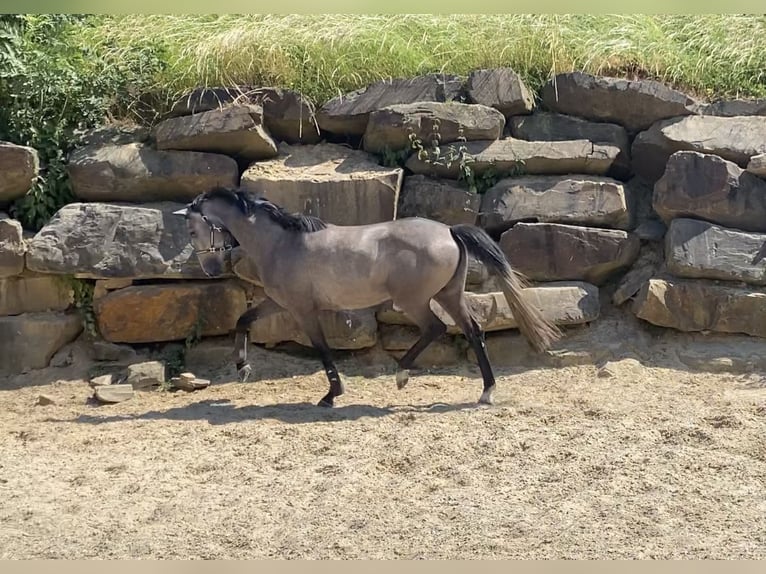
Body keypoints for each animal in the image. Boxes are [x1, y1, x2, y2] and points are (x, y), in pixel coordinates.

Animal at [174, 187, 564, 408]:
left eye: (192, 229)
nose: (210, 268)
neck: (281, 242)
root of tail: (450, 231)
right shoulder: (281, 302)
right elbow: (243, 320)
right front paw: (242, 367)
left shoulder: (303, 310)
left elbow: (322, 350)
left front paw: (331, 395)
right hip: (449, 294)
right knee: (473, 332)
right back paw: (485, 392)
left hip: (415, 301)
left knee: (437, 329)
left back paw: (403, 375)